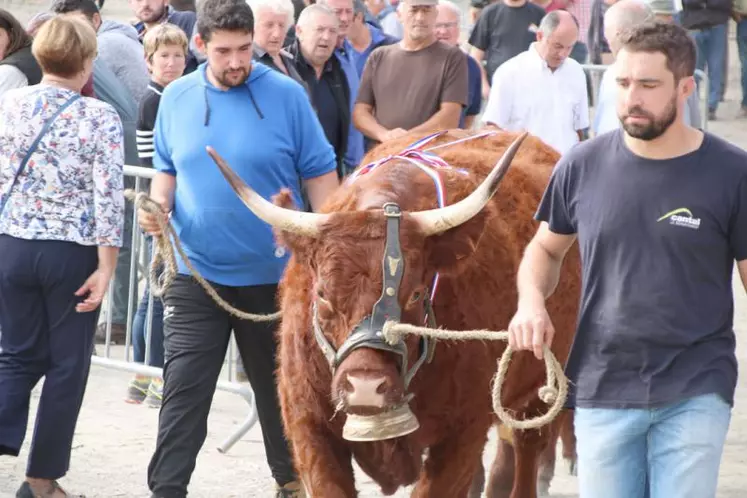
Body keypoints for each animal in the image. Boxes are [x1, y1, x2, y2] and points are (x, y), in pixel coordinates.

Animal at [209, 129, 584, 498]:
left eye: (416, 293)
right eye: (322, 294)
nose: (364, 386)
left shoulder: (462, 436)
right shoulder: (309, 430)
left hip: (539, 389)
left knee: (525, 448)